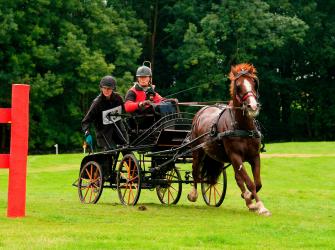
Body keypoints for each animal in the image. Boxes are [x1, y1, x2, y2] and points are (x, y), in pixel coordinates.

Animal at [188, 63, 272, 216]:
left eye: (254, 83)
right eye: (238, 86)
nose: (253, 106)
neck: (243, 127)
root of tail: (202, 110)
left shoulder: (254, 156)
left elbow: (257, 183)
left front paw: (250, 199)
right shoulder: (235, 156)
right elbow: (250, 183)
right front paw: (261, 206)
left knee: (237, 179)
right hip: (197, 151)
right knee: (195, 171)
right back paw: (193, 194)